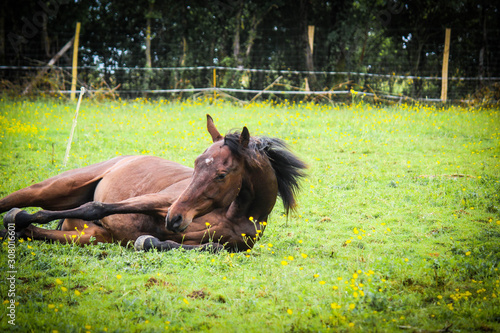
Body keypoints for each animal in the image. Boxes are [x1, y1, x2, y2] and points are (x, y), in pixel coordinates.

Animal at [0, 115, 308, 252]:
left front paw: (147, 240)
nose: (175, 219)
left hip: (88, 236)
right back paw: (16, 215)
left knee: (35, 234)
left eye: (221, 174)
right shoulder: (163, 201)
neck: (235, 214)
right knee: (15, 201)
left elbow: (209, 247)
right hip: (52, 189)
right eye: (197, 163)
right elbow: (96, 207)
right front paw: (20, 217)